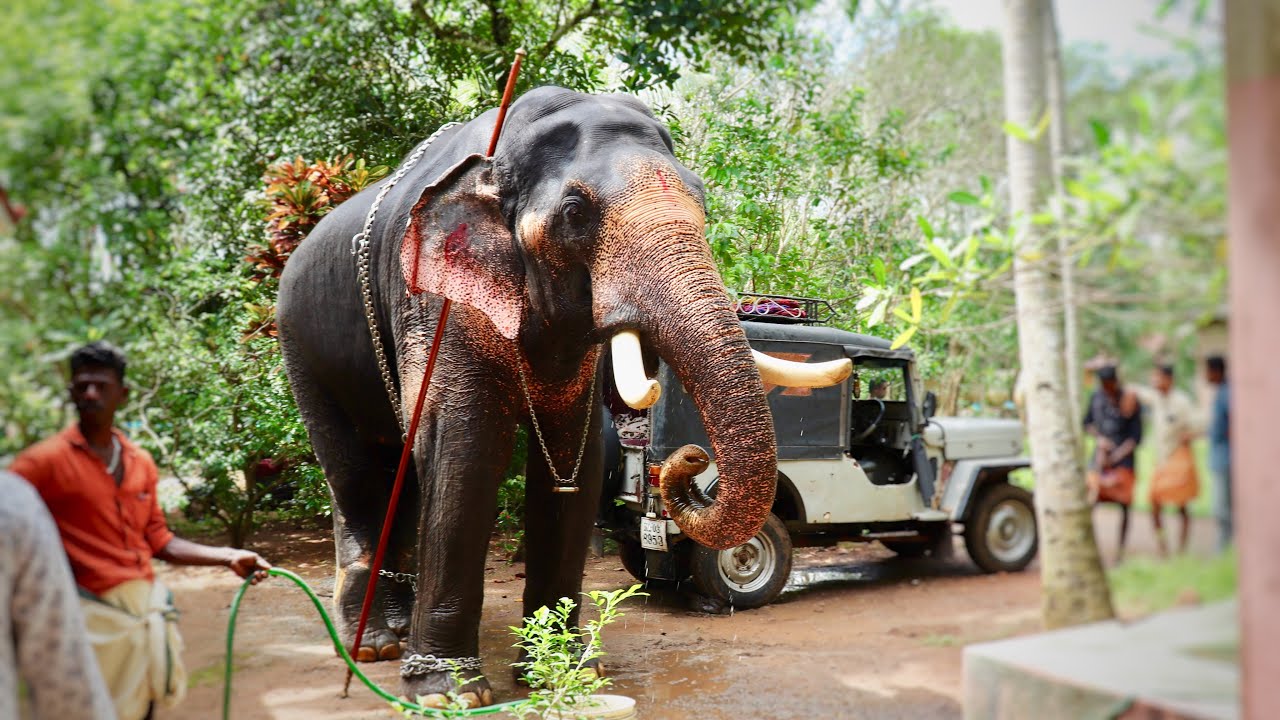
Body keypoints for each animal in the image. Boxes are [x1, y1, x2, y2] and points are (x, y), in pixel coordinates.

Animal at [276, 86, 826, 706]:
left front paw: (569, 670)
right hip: (301, 345)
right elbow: (462, 447)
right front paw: (450, 694)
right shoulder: (434, 304)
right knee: (356, 476)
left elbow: (576, 462)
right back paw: (370, 647)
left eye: (702, 202)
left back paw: (390, 632)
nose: (691, 459)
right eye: (575, 213)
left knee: (402, 475)